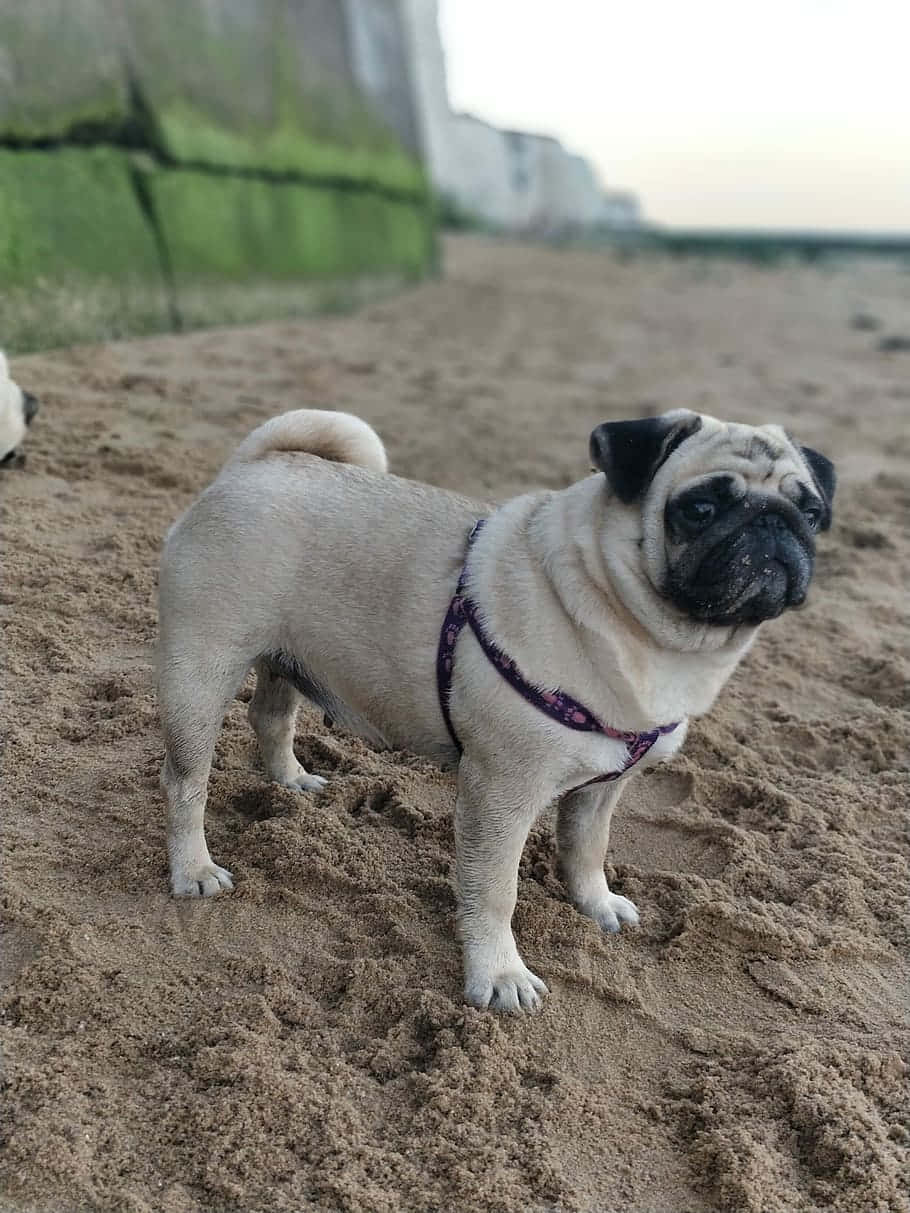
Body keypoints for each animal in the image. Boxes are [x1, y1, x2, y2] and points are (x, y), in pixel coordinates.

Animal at [156, 407, 834, 1014]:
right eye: (699, 509)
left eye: (811, 512)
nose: (774, 524)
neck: (645, 632)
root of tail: (254, 465)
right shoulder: (502, 792)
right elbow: (494, 891)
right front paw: (500, 974)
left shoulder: (603, 788)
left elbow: (587, 849)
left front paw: (594, 904)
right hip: (201, 673)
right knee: (185, 782)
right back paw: (194, 869)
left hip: (287, 658)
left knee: (271, 717)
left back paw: (290, 780)